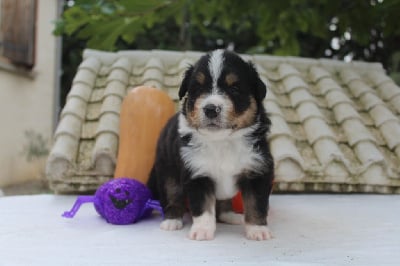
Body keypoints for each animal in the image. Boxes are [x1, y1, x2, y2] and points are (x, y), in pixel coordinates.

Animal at [147, 49, 276, 241]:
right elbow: (203, 208)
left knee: (223, 204)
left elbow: (256, 204)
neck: (221, 142)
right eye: (198, 88)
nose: (210, 109)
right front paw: (202, 230)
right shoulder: (197, 174)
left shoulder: (257, 170)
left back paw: (231, 216)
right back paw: (172, 220)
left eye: (234, 88)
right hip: (167, 172)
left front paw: (257, 230)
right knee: (172, 196)